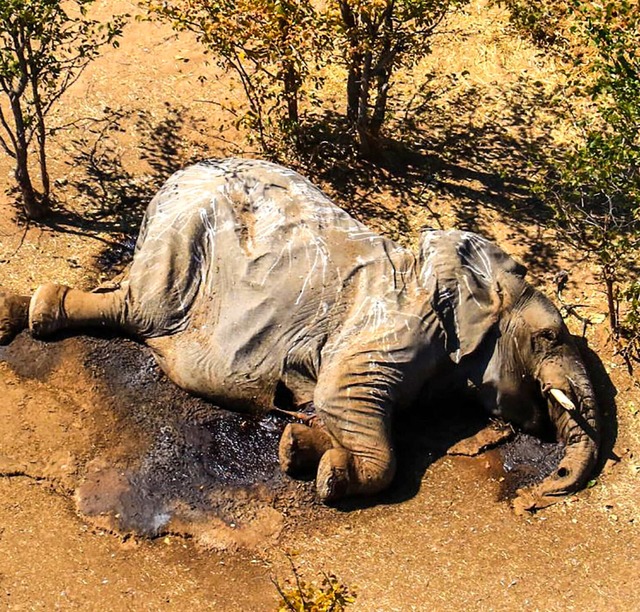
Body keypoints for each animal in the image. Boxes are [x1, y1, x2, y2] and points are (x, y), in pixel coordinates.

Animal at [0, 159, 600, 512]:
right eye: (550, 336)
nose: (535, 498)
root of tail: (173, 178)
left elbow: (337, 410)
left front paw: (297, 448)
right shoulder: (393, 326)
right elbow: (344, 398)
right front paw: (331, 474)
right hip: (182, 239)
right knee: (141, 310)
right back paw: (38, 312)